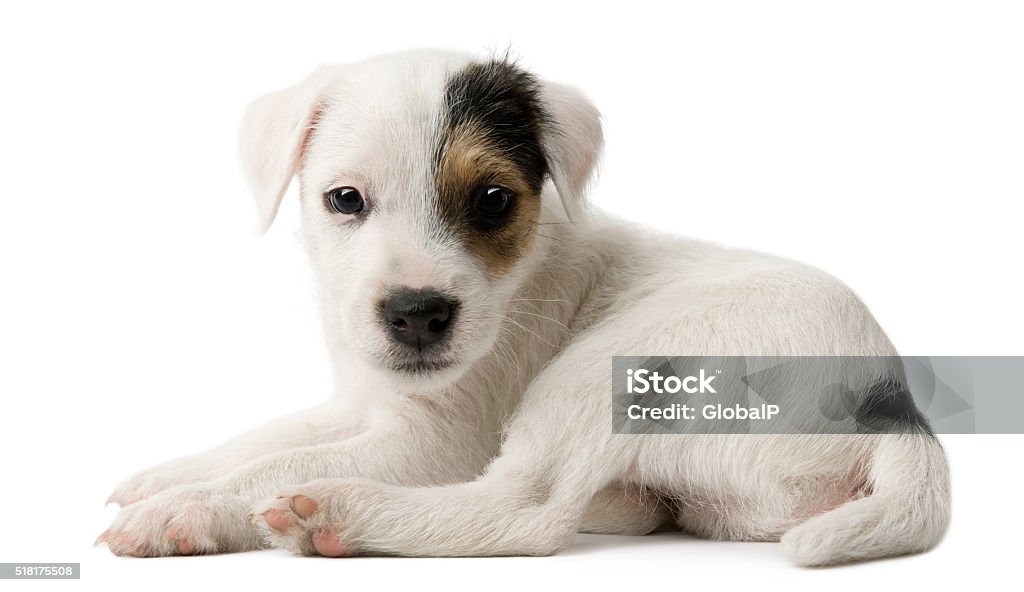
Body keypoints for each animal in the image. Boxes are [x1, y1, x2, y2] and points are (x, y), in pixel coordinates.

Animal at [97, 49, 950, 561]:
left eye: (492, 199)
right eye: (344, 200)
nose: (417, 314)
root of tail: (896, 412)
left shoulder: (437, 444)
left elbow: (282, 461)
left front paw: (189, 507)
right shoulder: (363, 399)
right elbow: (269, 436)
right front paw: (171, 475)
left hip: (604, 370)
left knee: (526, 511)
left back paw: (339, 513)